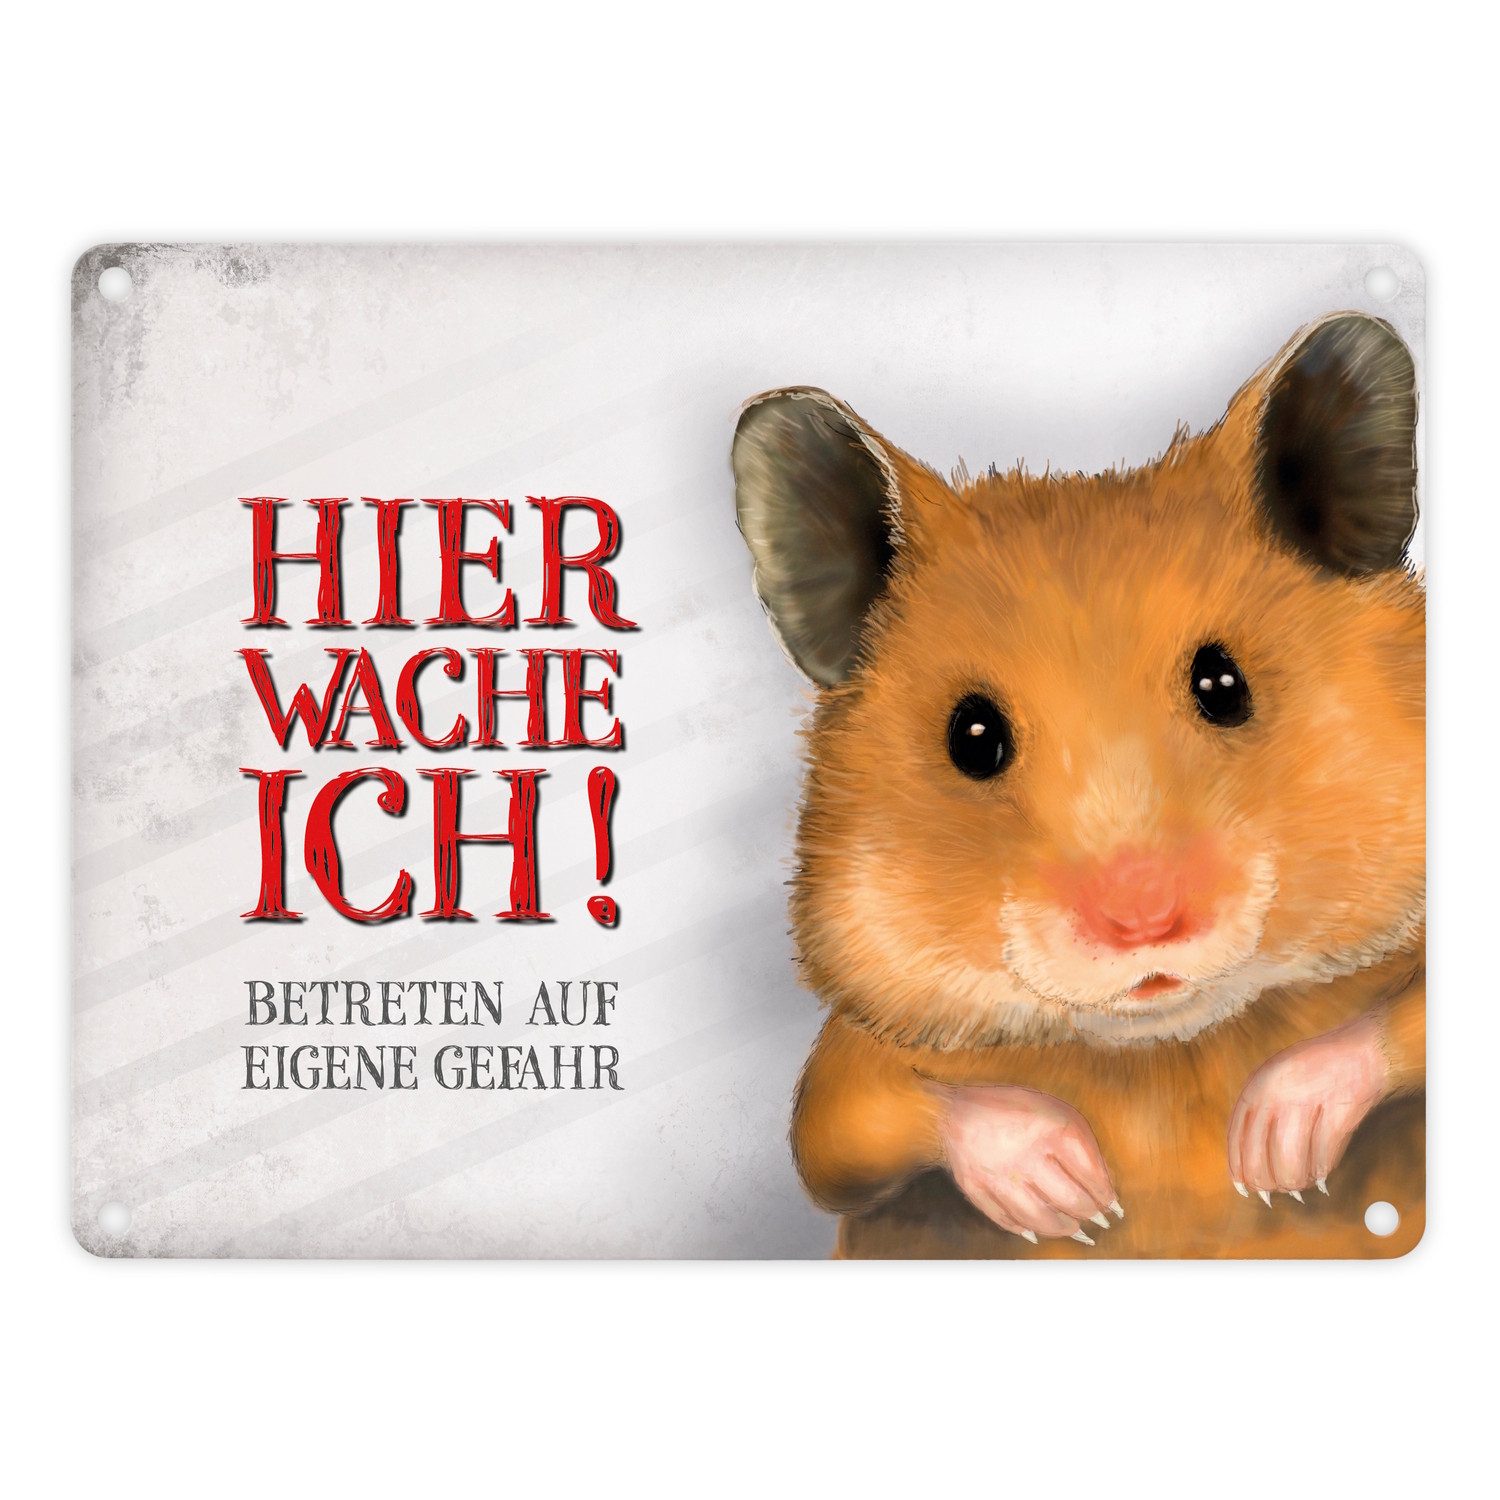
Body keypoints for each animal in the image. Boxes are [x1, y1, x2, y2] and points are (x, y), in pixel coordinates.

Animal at [731, 312, 1424, 1258]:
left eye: (1224, 684)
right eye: (973, 737)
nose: (1145, 923)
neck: (1164, 1052)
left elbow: (1395, 1023)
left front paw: (1271, 1151)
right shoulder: (844, 1069)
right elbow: (854, 1117)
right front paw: (1074, 1196)